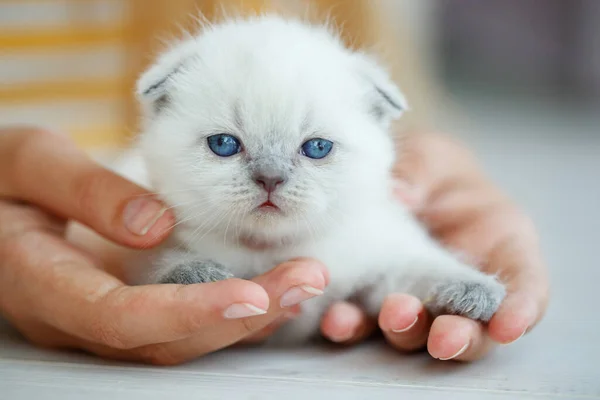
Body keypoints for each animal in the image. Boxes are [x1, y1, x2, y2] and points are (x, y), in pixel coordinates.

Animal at [113, 14, 506, 344]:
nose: (270, 178)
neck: (273, 249)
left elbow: (421, 267)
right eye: (223, 144)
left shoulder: (377, 252)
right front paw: (195, 271)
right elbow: (156, 263)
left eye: (317, 148)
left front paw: (472, 290)